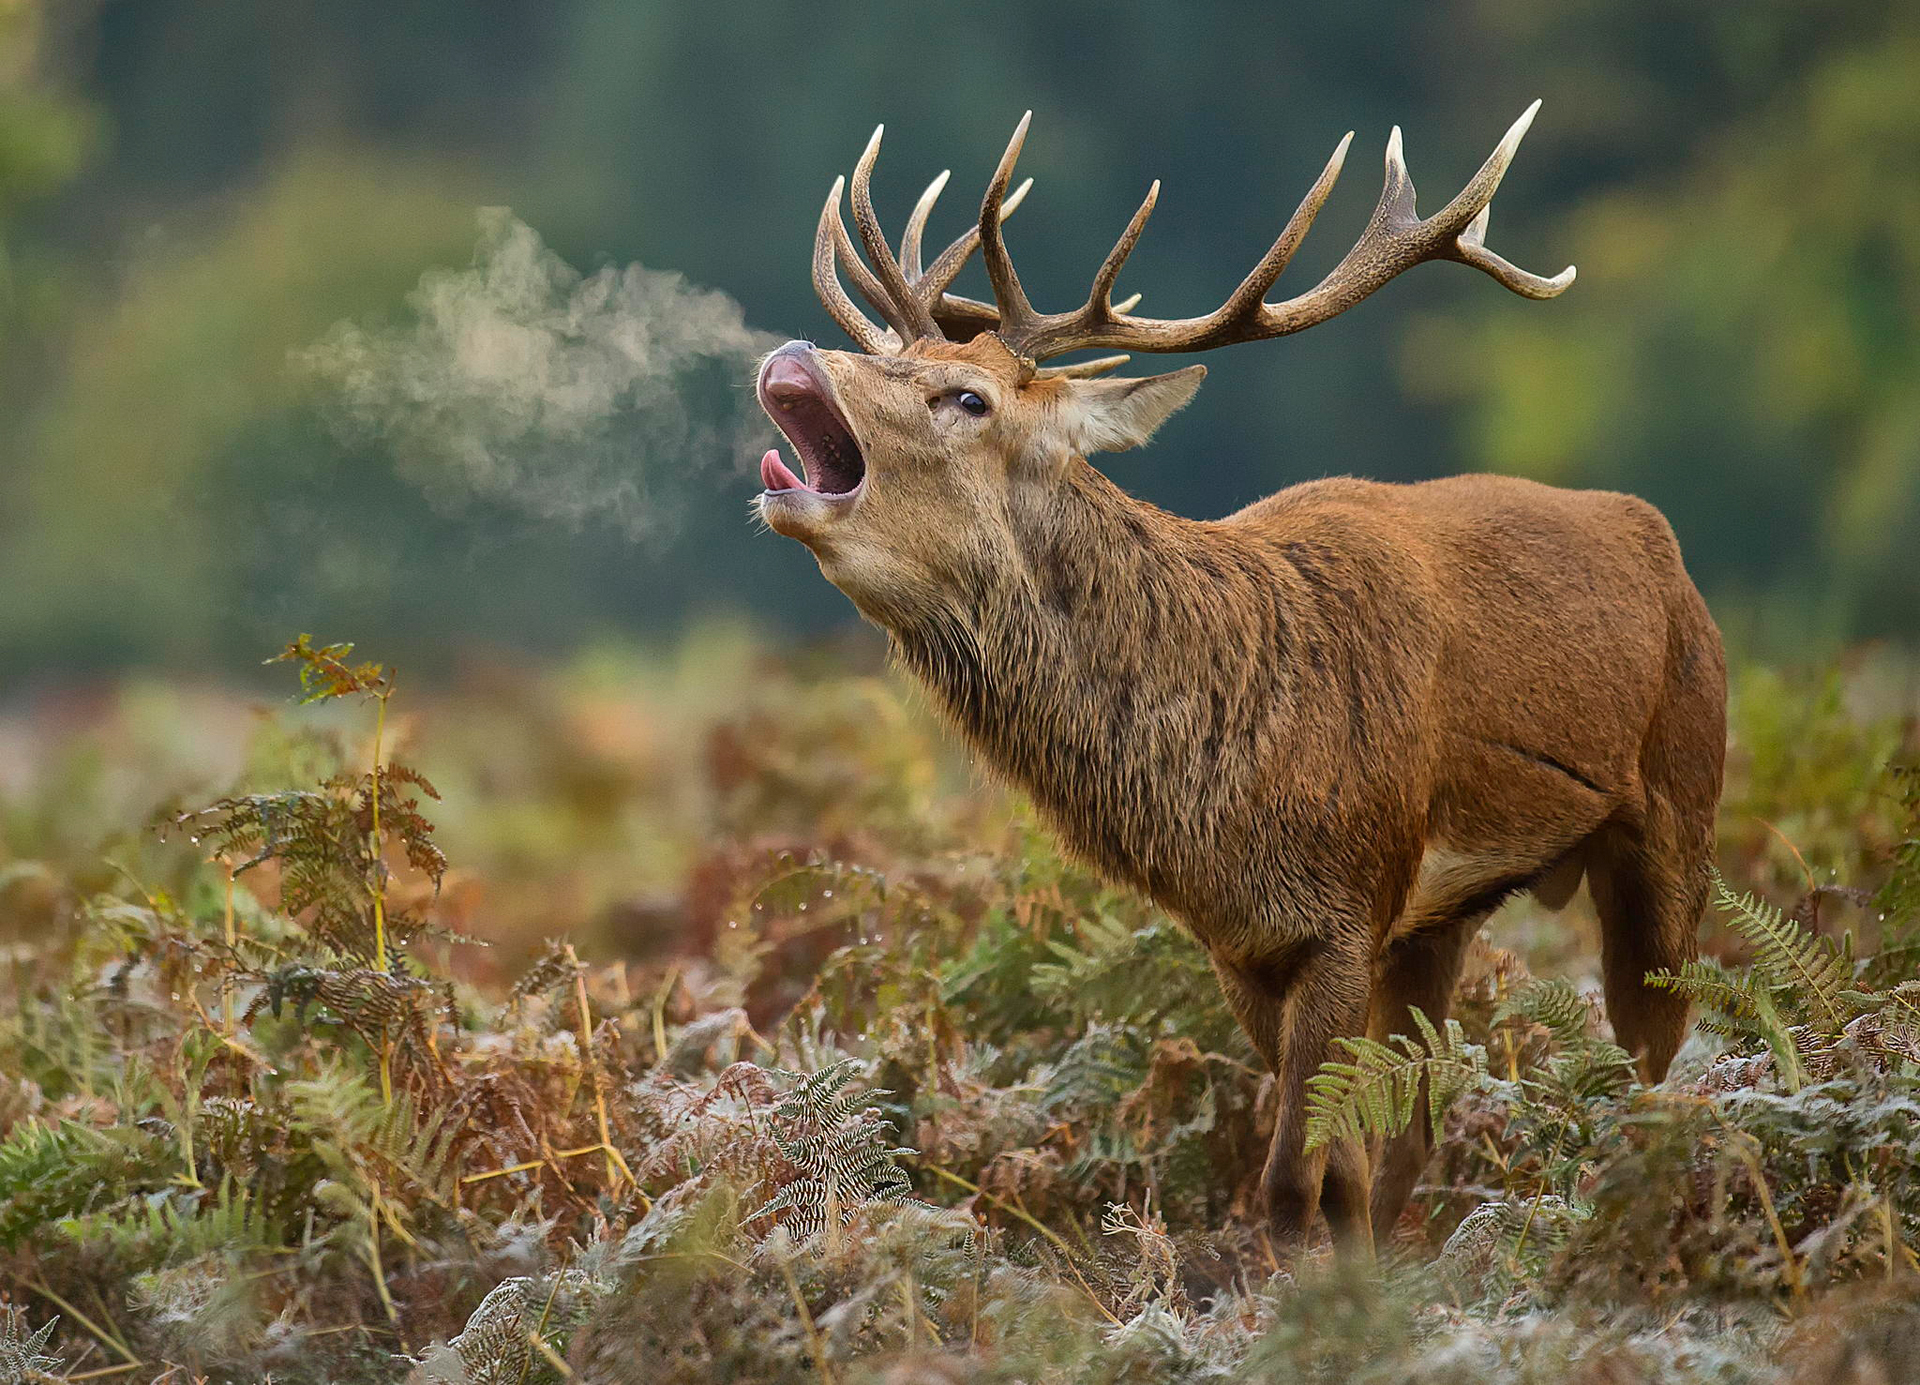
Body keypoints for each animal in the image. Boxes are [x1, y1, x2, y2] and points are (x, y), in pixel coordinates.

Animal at [744, 105, 1728, 1252]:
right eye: (887, 352)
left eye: (967, 396)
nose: (795, 352)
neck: (1221, 797)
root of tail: (1662, 544)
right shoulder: (1238, 941)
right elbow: (1341, 1168)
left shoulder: (1347, 908)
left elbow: (1292, 1180)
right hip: (1442, 919)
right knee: (1420, 1125)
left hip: (1678, 814)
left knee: (1654, 1063)